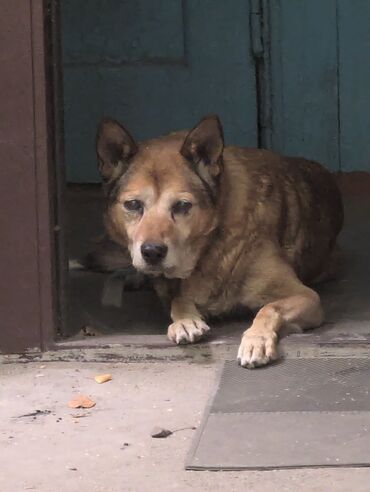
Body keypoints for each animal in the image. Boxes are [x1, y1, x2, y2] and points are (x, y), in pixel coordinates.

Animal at [95, 115, 344, 368]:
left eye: (182, 205)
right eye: (133, 205)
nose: (152, 252)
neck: (211, 247)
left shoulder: (307, 297)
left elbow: (269, 308)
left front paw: (256, 339)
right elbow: (179, 300)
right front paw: (185, 321)